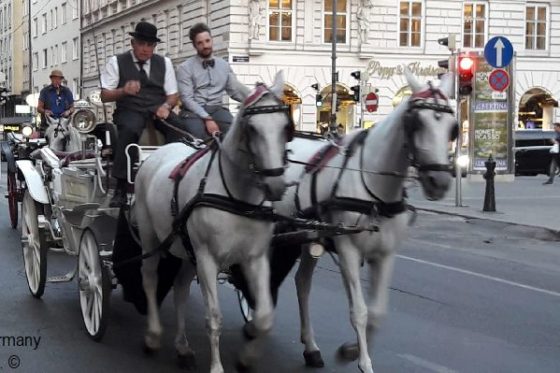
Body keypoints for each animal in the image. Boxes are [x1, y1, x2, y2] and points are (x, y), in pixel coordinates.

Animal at [136, 71, 294, 370]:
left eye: (285, 127)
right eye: (251, 128)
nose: (276, 185)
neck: (237, 198)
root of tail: (156, 153)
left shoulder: (255, 258)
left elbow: (264, 316)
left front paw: (247, 354)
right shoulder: (208, 258)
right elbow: (214, 317)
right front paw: (217, 367)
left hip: (186, 250)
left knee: (180, 290)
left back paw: (182, 346)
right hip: (152, 238)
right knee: (149, 278)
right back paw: (152, 335)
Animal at [272, 68, 460, 370]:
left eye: (453, 127)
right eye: (416, 123)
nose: (439, 182)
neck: (374, 191)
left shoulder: (384, 254)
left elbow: (377, 312)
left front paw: (349, 350)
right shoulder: (348, 249)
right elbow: (359, 311)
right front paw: (363, 361)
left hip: (309, 237)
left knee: (302, 283)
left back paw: (311, 347)